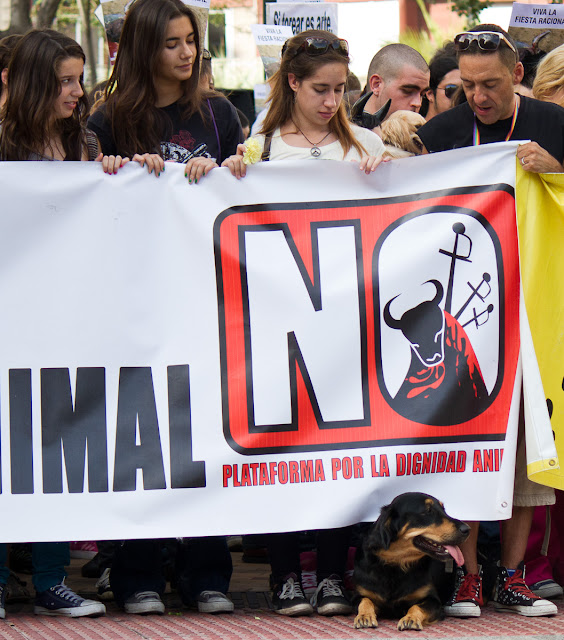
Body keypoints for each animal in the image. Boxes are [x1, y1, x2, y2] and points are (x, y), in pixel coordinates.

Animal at [354, 492, 470, 632]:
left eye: (444, 509)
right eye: (428, 511)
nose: (467, 529)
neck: (396, 564)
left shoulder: (434, 602)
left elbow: (417, 606)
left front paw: (411, 619)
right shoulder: (358, 595)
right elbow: (365, 601)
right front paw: (364, 616)